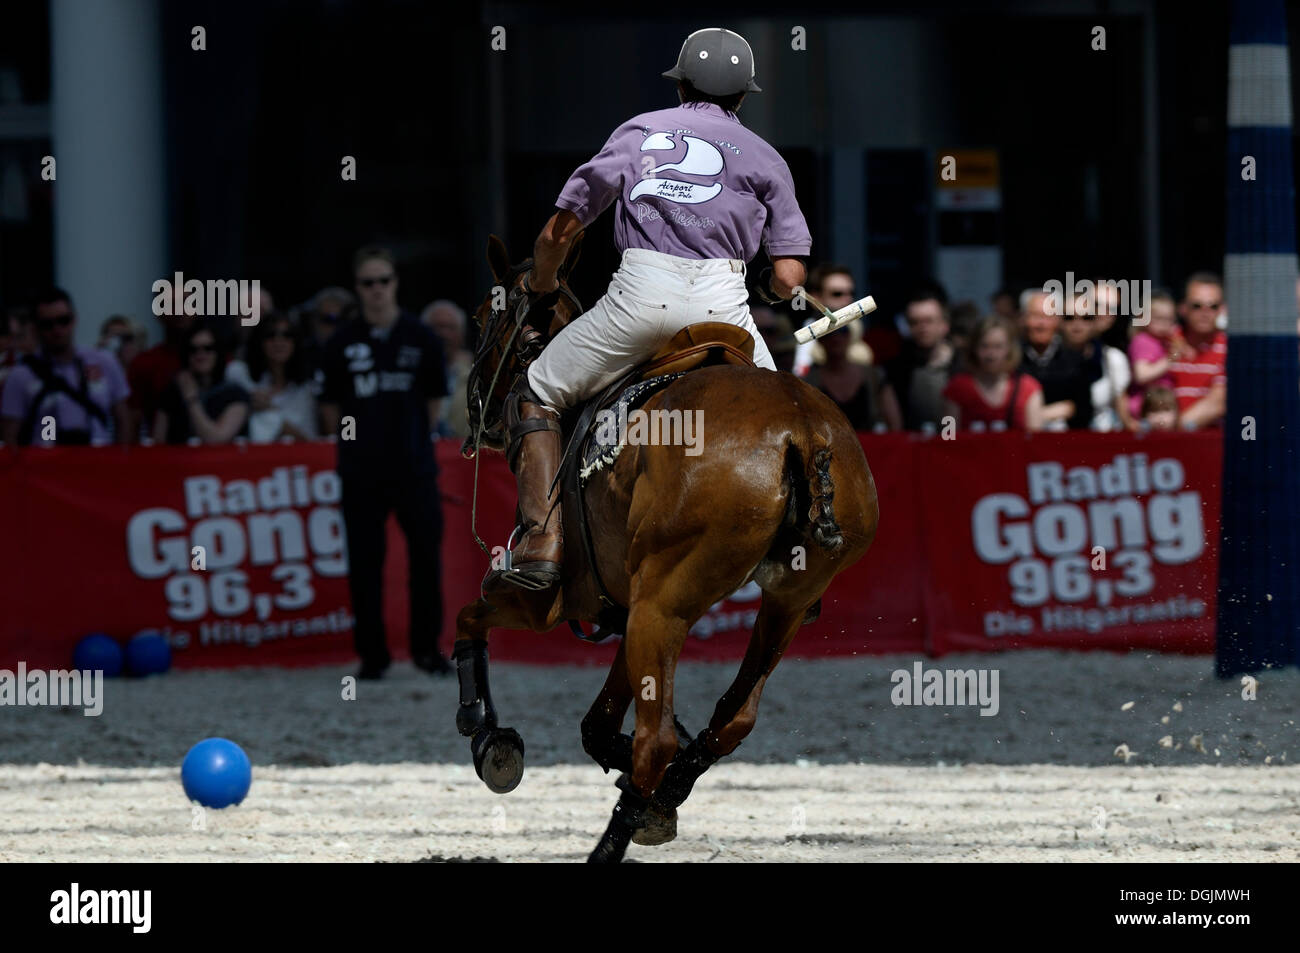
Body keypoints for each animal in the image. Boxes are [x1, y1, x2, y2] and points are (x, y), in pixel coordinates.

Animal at [452, 234, 878, 858]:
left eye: (485, 315)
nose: (477, 405)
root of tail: (801, 432)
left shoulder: (551, 600)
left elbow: (469, 618)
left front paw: (488, 738)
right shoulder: (625, 600)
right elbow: (599, 723)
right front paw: (652, 798)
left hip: (665, 602)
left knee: (656, 741)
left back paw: (610, 843)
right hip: (780, 601)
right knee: (733, 716)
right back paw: (665, 790)